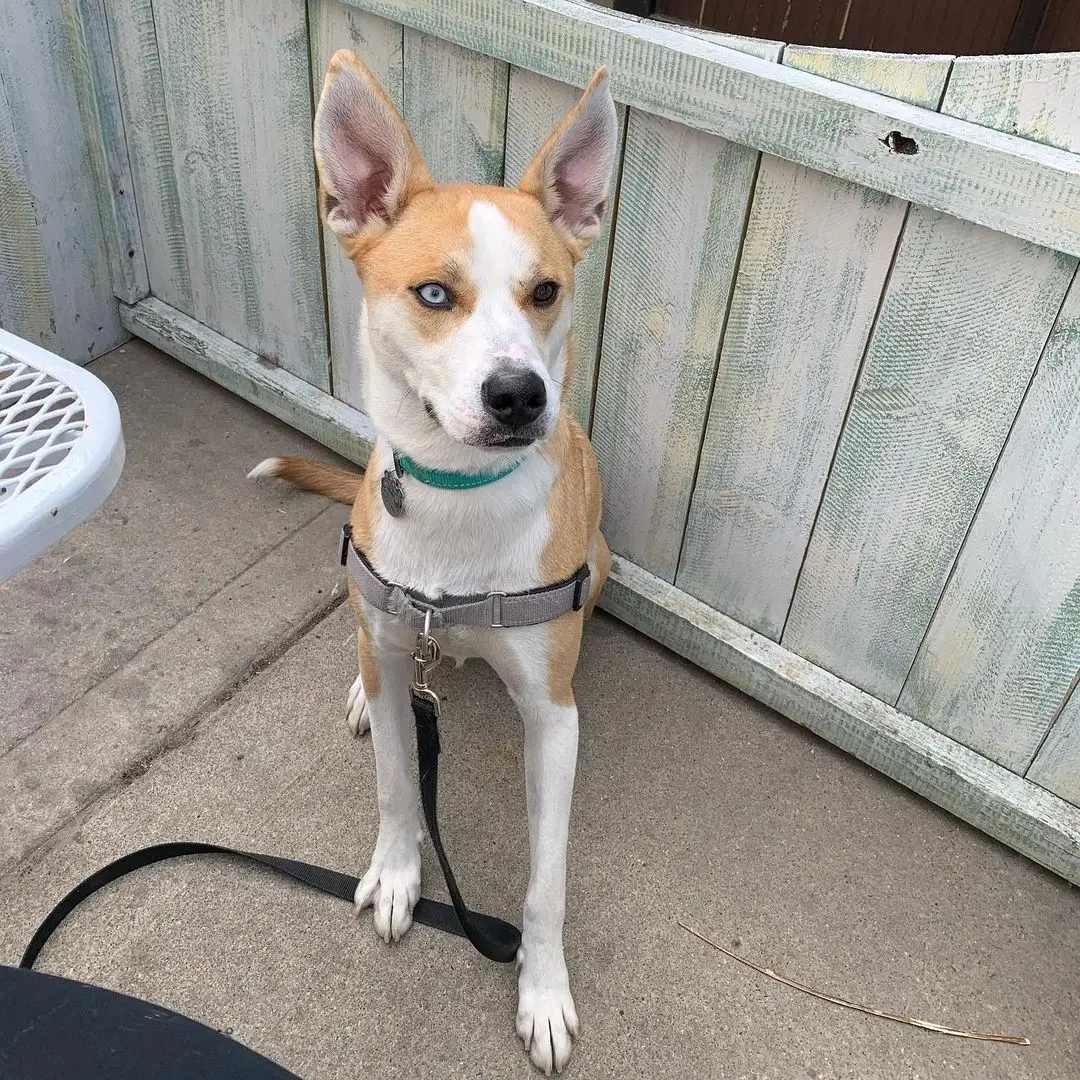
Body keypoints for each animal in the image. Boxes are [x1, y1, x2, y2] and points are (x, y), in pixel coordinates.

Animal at [247, 48, 617, 1071]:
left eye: (545, 291)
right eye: (435, 294)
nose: (519, 395)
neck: (459, 495)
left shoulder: (553, 722)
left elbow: (545, 882)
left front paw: (542, 989)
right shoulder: (390, 642)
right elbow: (398, 788)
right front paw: (399, 872)